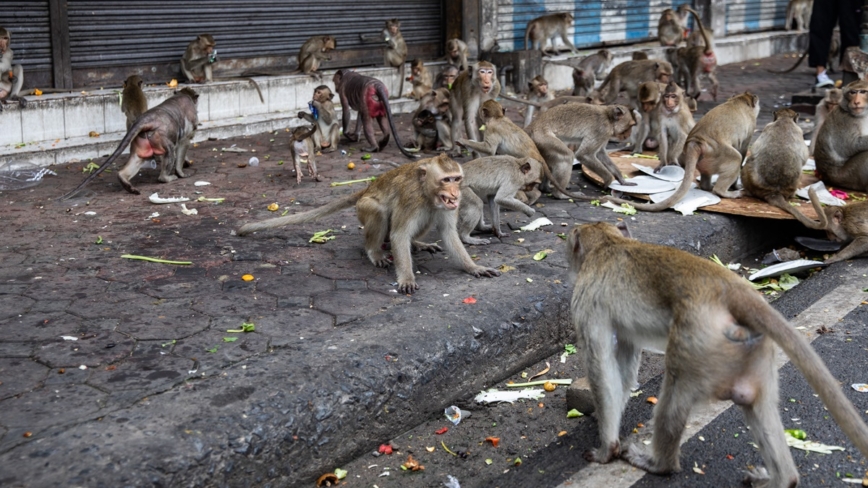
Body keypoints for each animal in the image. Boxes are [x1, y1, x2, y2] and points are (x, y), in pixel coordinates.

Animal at [63, 88, 202, 197]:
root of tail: (146, 119)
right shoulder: (189, 128)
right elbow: (184, 143)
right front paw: (181, 172)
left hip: (140, 141)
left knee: (137, 159)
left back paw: (125, 181)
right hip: (160, 137)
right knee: (171, 150)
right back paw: (166, 178)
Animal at [564, 222, 868, 488]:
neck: (607, 242)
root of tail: (733, 288)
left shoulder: (585, 299)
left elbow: (601, 367)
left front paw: (606, 449)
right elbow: (624, 369)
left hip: (696, 343)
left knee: (675, 393)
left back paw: (659, 464)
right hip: (755, 350)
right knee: (755, 404)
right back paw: (782, 479)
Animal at [604, 91, 760, 212]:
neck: (740, 99)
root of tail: (696, 142)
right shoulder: (751, 125)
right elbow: (743, 150)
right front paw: (736, 186)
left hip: (707, 159)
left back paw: (707, 186)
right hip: (718, 154)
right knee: (736, 158)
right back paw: (722, 191)